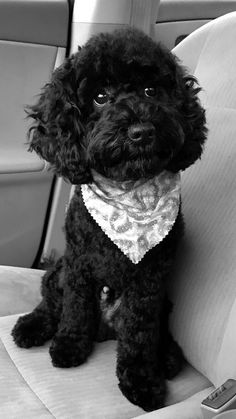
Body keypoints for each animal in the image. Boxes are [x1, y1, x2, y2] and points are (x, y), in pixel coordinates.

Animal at [11, 29, 206, 414]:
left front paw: (142, 380)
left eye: (151, 90)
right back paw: (32, 326)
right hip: (60, 271)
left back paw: (168, 358)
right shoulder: (79, 265)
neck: (130, 192)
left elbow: (139, 335)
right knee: (51, 301)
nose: (140, 131)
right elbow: (74, 308)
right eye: (100, 97)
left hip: (163, 300)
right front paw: (69, 346)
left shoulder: (149, 281)